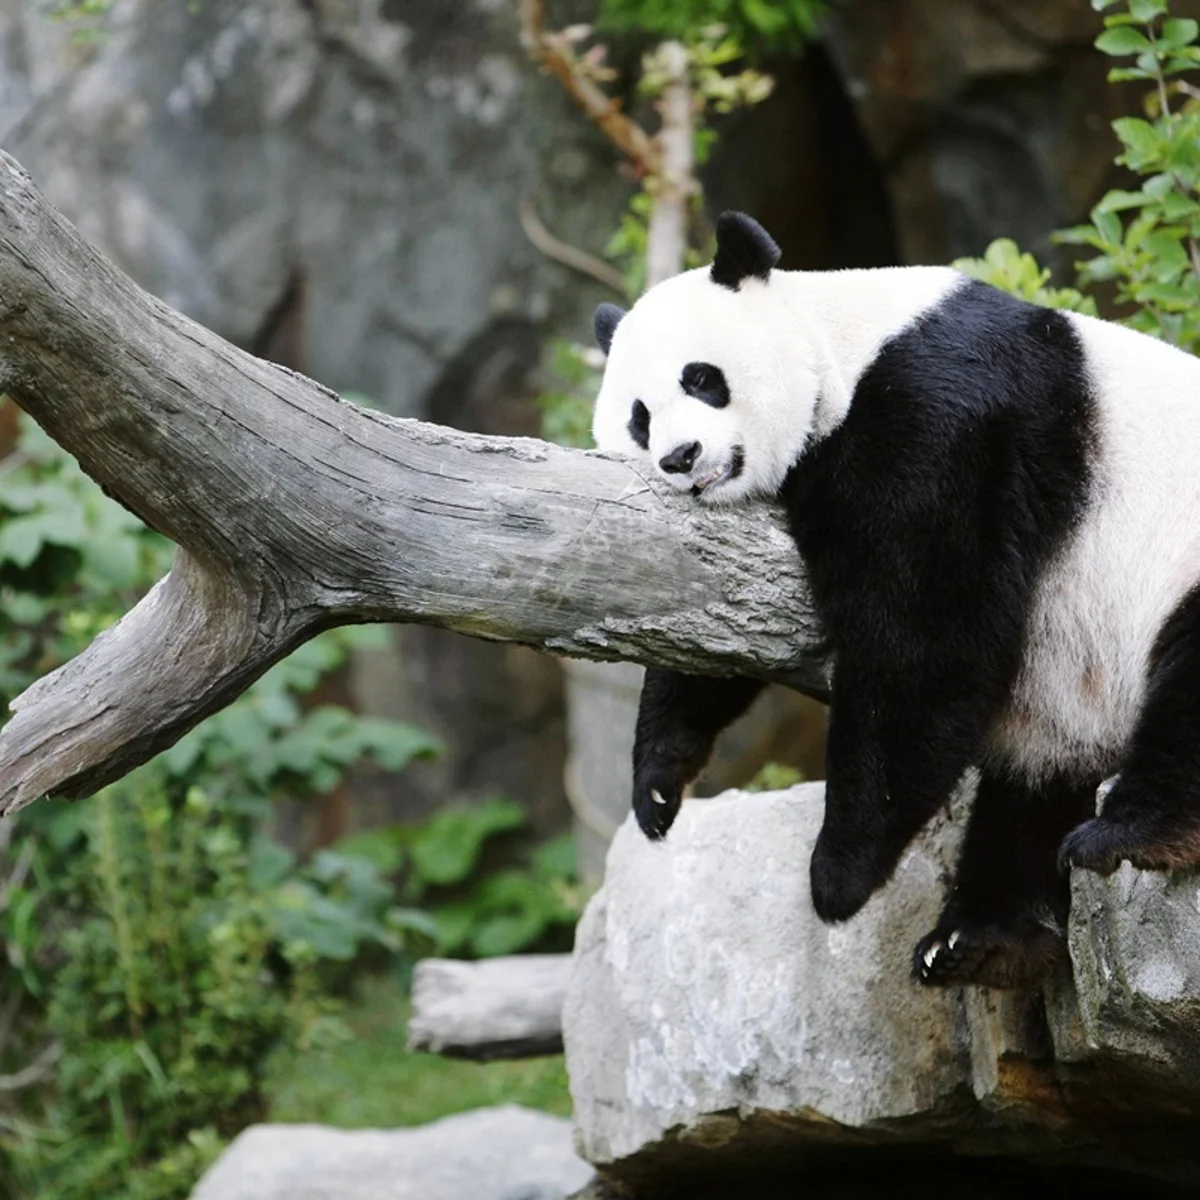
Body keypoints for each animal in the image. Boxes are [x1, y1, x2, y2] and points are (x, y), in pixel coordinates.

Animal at [590, 210, 1200, 990]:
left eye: (701, 380)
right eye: (639, 418)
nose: (680, 458)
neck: (841, 347)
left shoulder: (941, 415)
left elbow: (922, 637)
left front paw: (838, 873)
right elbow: (712, 623)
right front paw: (660, 785)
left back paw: (1127, 835)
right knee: (1033, 785)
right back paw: (983, 938)